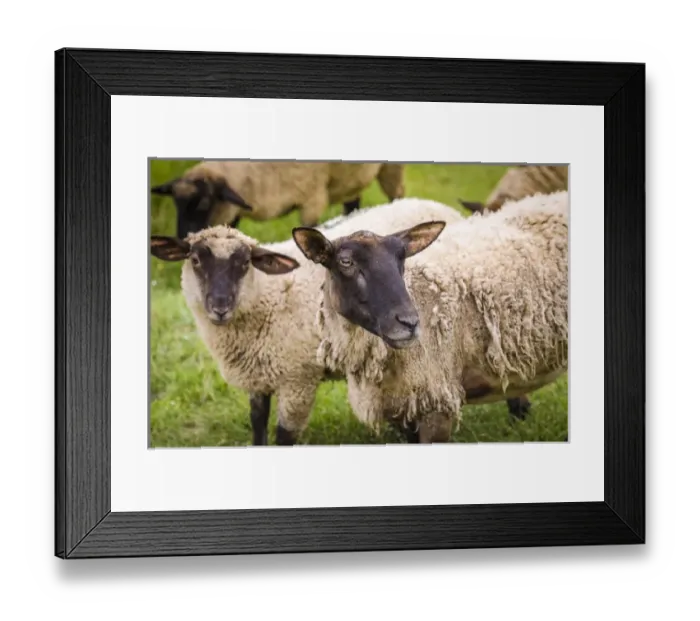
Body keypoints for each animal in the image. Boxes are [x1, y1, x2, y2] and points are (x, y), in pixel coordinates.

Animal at [149, 198, 466, 446]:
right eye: (195, 260)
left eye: (244, 263)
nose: (219, 307)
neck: (265, 295)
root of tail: (443, 206)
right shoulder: (257, 375)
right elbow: (257, 422)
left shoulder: (297, 381)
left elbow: (283, 436)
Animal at [150, 160, 406, 239]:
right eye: (176, 204)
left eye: (204, 203)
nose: (183, 237)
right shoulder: (235, 210)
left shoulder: (312, 198)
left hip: (391, 169)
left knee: (397, 196)